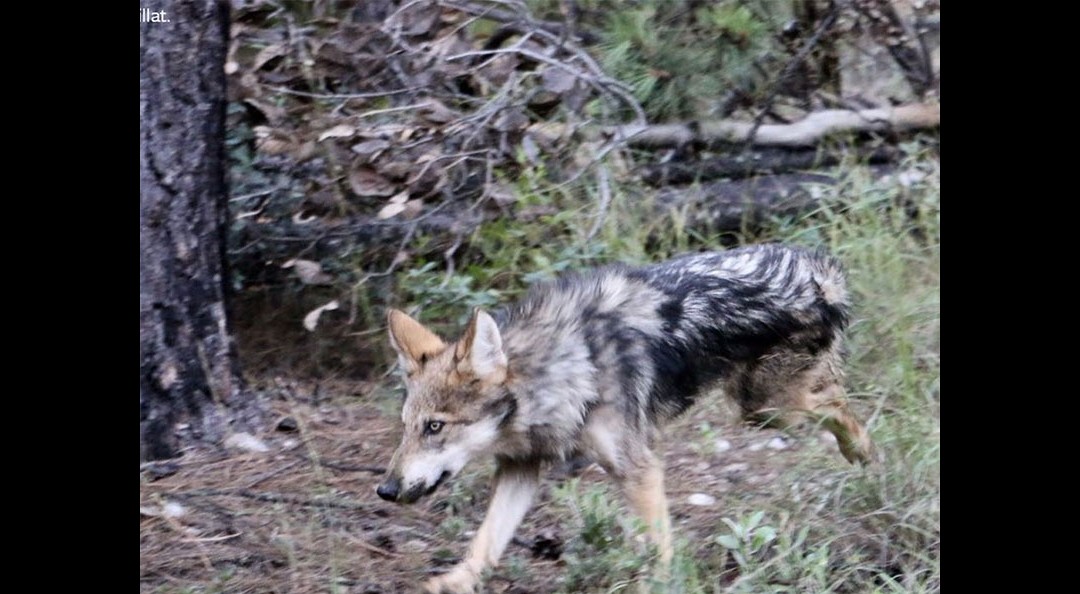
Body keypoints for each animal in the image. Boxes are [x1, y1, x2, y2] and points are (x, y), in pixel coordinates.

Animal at [375, 243, 872, 594]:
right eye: (407, 427)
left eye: (435, 427)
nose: (386, 490)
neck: (568, 367)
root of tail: (818, 269)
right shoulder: (522, 467)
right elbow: (486, 540)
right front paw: (457, 581)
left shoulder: (638, 468)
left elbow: (659, 549)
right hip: (763, 410)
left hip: (769, 409)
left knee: (841, 404)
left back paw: (863, 454)